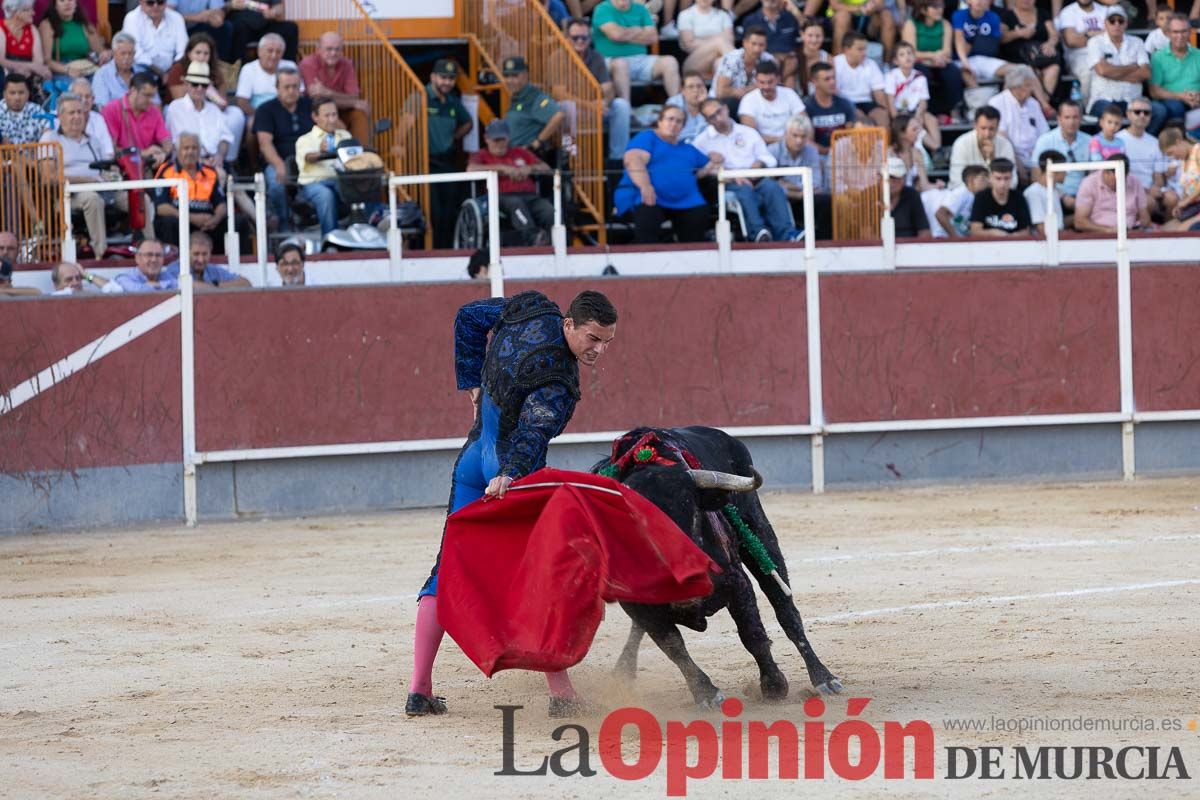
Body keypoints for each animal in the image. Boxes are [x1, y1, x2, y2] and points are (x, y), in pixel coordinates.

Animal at [592, 424, 840, 705]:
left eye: (690, 508)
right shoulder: (636, 605)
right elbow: (673, 646)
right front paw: (706, 693)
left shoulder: (737, 583)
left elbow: (752, 634)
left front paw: (774, 685)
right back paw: (623, 670)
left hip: (758, 530)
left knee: (785, 608)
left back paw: (823, 678)